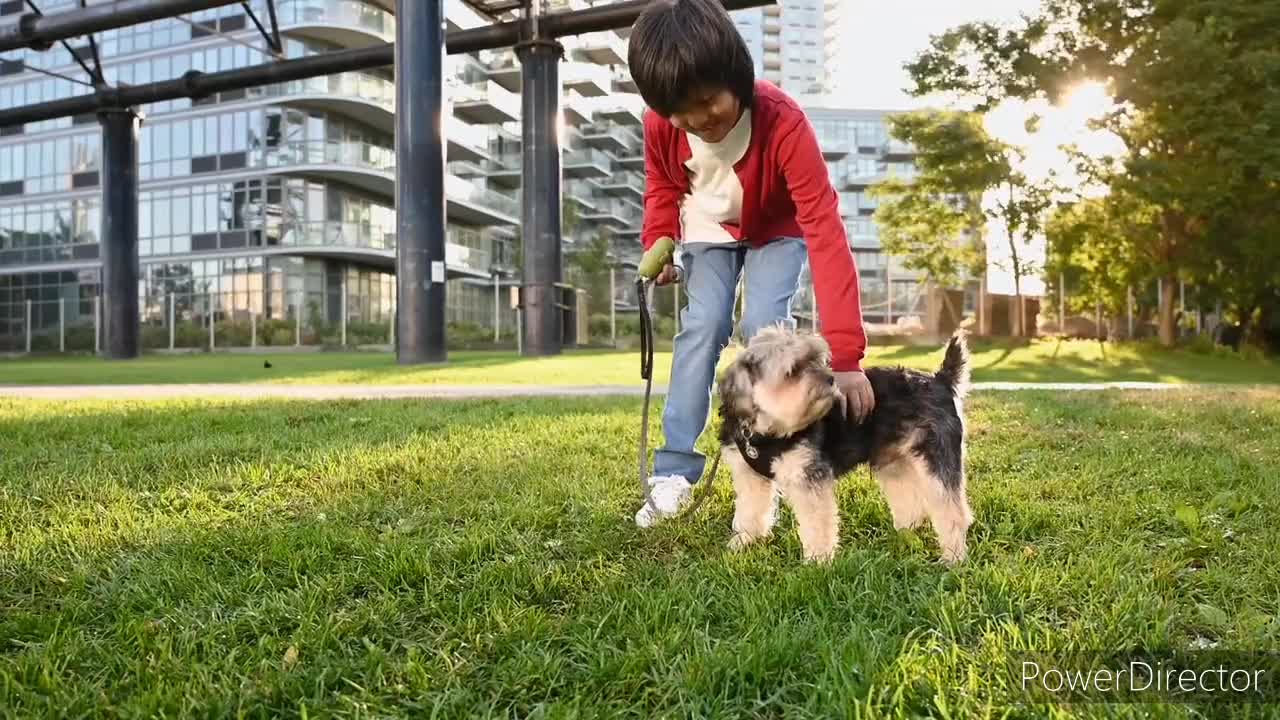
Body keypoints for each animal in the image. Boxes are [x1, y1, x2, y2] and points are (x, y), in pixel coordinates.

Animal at [716, 322, 972, 563]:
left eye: (817, 360)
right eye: (794, 369)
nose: (830, 379)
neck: (767, 432)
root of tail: (941, 380)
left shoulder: (809, 479)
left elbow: (817, 524)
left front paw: (818, 560)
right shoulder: (750, 478)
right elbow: (750, 511)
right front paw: (744, 542)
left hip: (936, 458)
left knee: (954, 512)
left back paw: (953, 558)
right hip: (895, 463)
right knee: (911, 503)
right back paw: (904, 536)